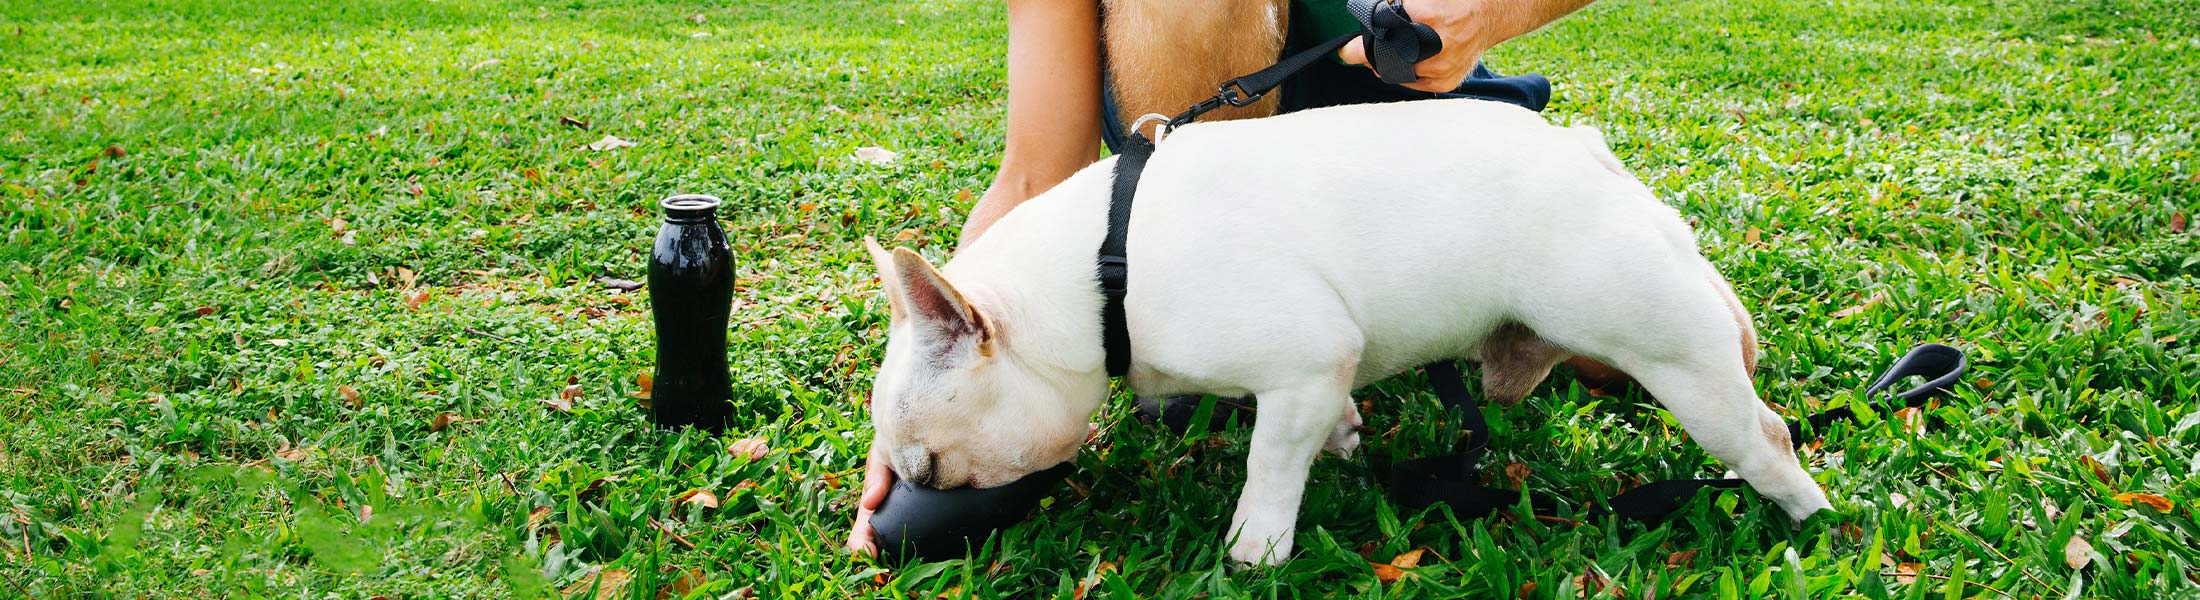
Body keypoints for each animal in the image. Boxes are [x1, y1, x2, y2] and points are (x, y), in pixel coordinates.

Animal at [866, 96, 1830, 560]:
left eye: (931, 468)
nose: (902, 511)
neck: (1106, 267)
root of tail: (1598, 161)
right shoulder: (1317, 376)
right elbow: (1322, 423)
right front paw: (1347, 438)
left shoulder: (1300, 363)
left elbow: (1269, 465)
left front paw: (1254, 551)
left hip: (1672, 356)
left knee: (1764, 438)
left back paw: (1810, 519)